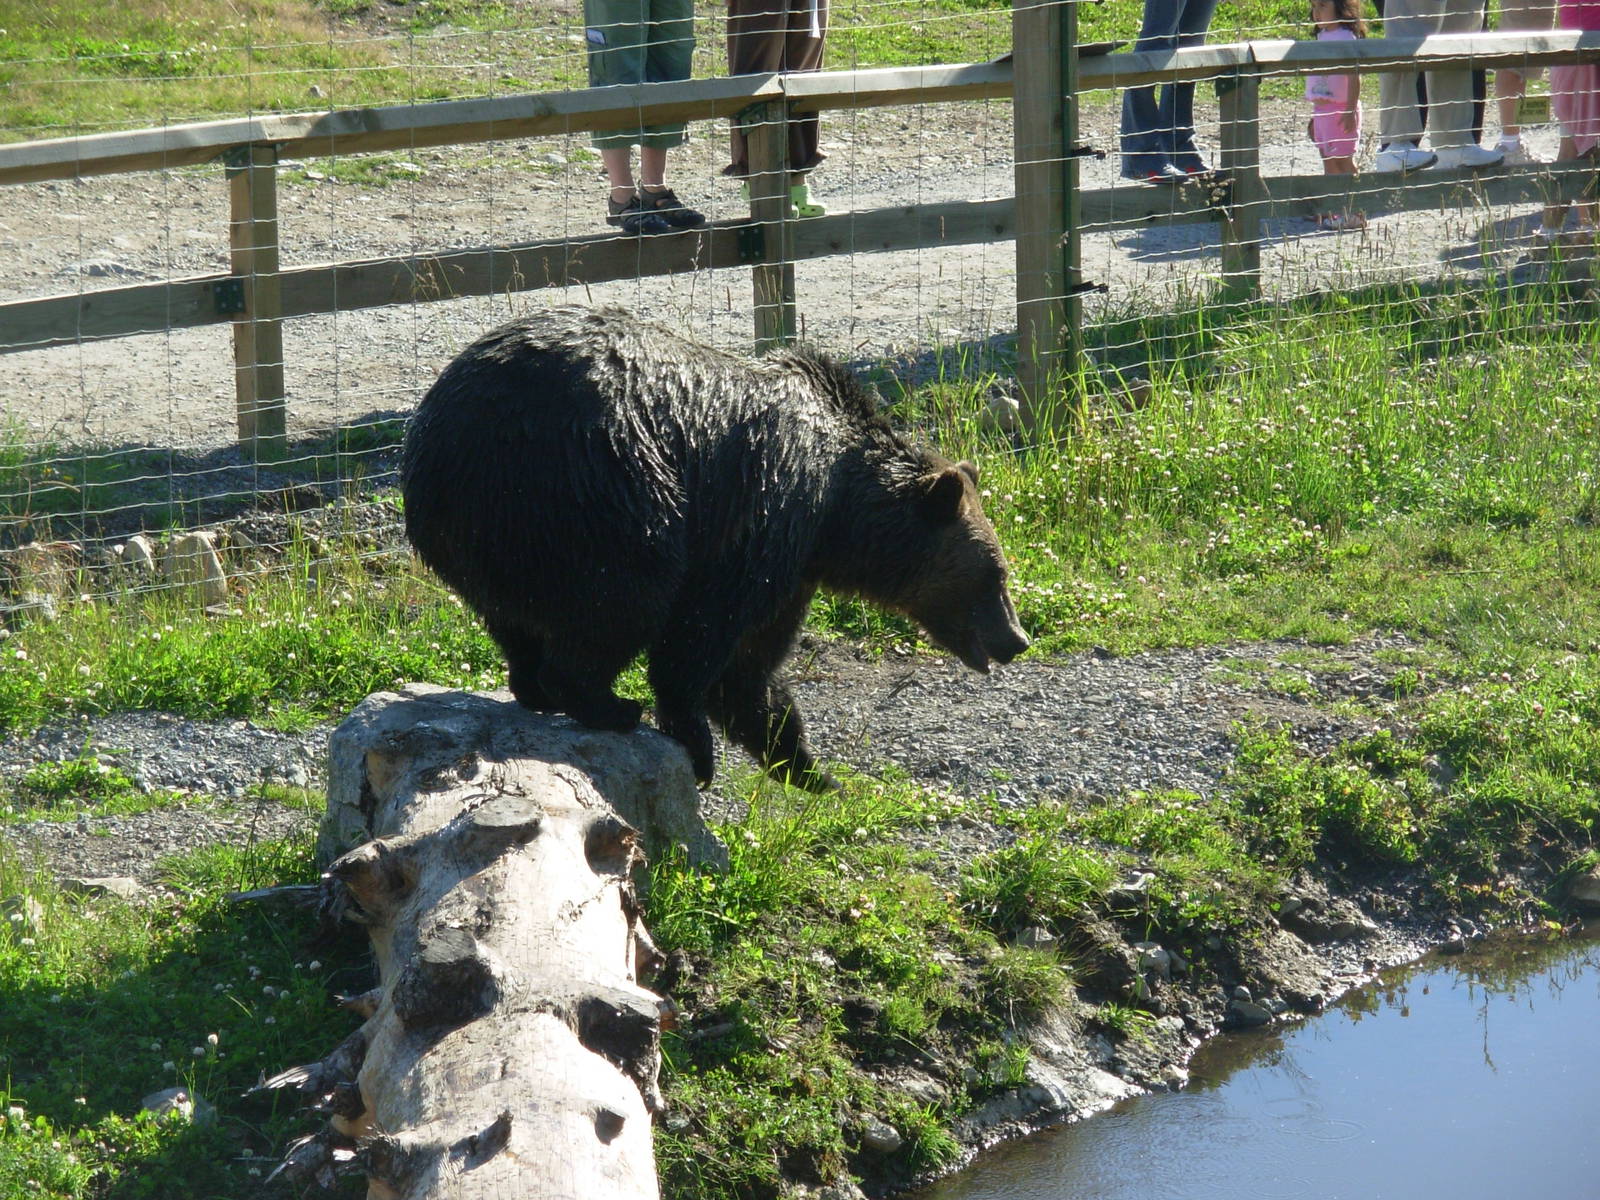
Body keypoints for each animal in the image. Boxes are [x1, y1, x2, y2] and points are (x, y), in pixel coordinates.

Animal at [401, 305, 1029, 791]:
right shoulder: (762, 512)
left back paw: (534, 687)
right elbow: (701, 633)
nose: (1016, 639)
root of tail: (441, 448)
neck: (836, 510)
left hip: (493, 539)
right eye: (994, 574)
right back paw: (606, 703)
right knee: (626, 592)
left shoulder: (793, 566)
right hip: (593, 486)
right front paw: (698, 749)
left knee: (517, 617)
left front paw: (811, 768)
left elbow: (750, 668)